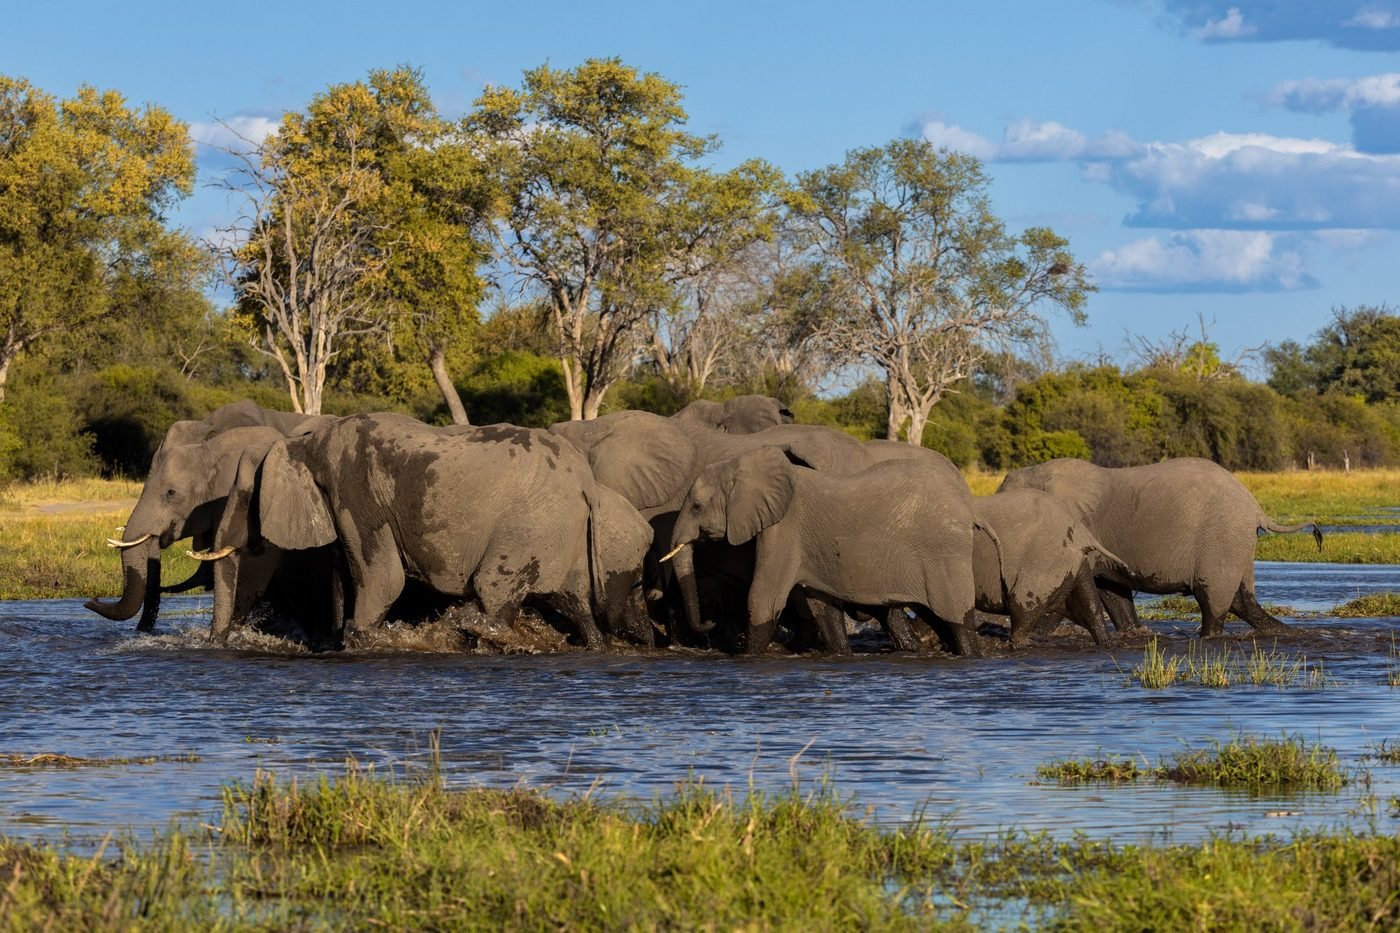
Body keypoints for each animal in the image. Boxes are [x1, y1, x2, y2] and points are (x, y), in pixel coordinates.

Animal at [199, 415, 654, 649]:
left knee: (495, 593)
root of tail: (587, 482)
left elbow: (383, 580)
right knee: (571, 600)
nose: (217, 643)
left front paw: (360, 638)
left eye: (245, 495)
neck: (304, 442)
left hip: (530, 525)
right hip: (556, 530)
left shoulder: (356, 491)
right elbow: (346, 578)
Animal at [664, 447, 981, 656]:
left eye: (696, 507)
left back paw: (969, 655)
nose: (709, 621)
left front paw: (747, 658)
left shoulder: (784, 527)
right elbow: (823, 607)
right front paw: (841, 655)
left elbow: (764, 597)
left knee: (956, 616)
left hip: (943, 553)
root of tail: (966, 502)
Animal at [972, 489, 1130, 646]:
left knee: (1022, 612)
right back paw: (1105, 643)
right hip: (1070, 561)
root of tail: (1083, 534)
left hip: (1045, 562)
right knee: (1090, 607)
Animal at [998, 457, 1322, 637]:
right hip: (1234, 541)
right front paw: (1136, 633)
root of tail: (1256, 509)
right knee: (1241, 600)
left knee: (1213, 601)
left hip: (1221, 537)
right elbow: (1109, 589)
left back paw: (1210, 637)